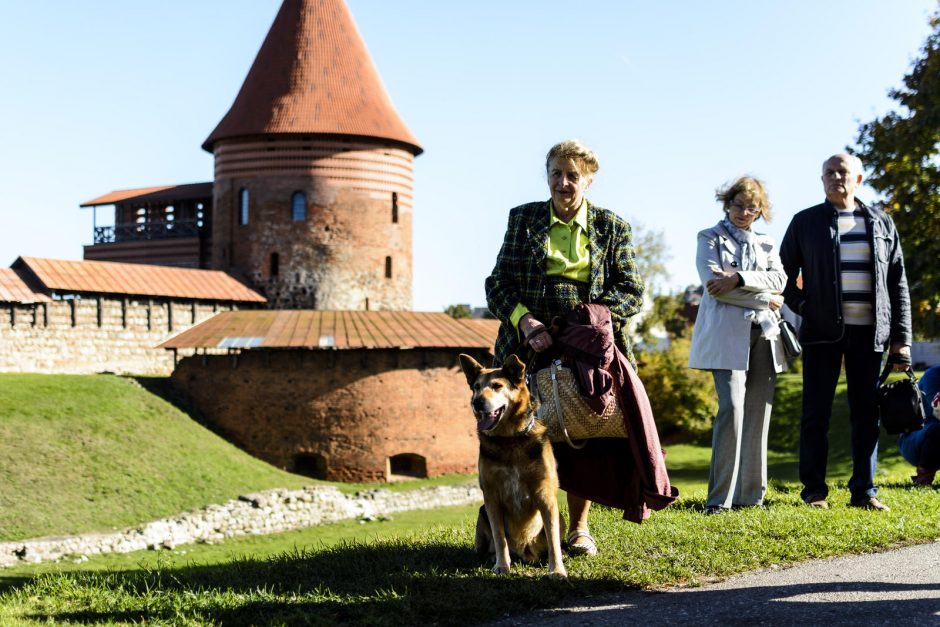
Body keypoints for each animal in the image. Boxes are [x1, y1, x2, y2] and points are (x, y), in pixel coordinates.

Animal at [458, 354, 560, 580]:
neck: (509, 439)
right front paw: (502, 566)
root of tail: (524, 553)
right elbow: (500, 537)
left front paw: (557, 570)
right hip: (482, 513)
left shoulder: (545, 494)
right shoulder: (491, 497)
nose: (477, 402)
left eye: (497, 386)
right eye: (476, 387)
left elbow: (553, 538)